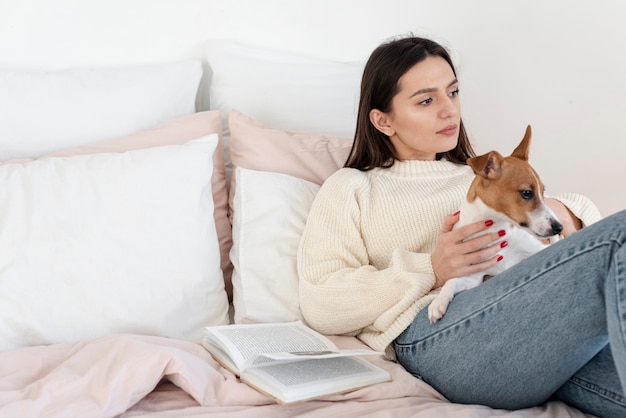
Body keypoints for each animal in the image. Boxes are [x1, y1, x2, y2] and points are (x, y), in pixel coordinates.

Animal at [426, 124, 564, 324]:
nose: (559, 228)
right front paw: (438, 303)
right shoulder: (475, 276)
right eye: (527, 193)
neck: (495, 229)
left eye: (543, 191)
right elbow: (451, 282)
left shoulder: (540, 249)